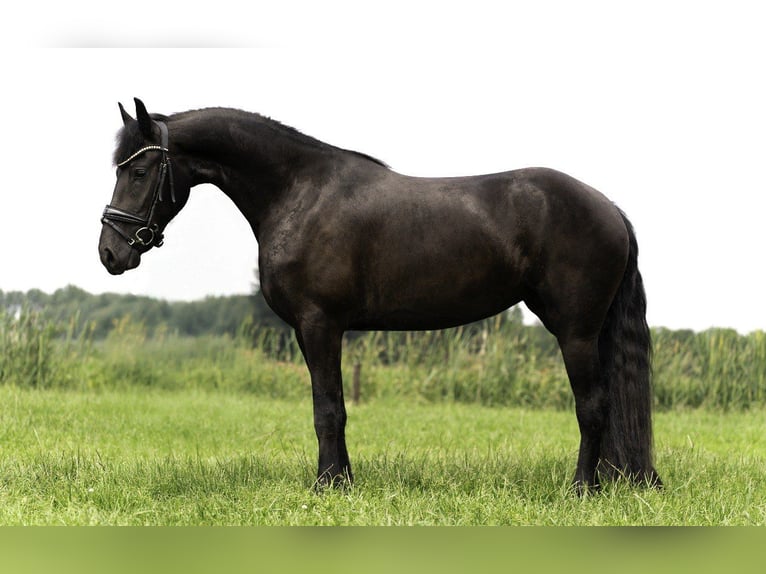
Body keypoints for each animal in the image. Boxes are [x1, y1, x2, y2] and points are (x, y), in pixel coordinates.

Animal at [99, 98, 662, 494]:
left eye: (140, 171)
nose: (110, 252)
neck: (300, 193)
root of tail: (608, 208)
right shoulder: (314, 332)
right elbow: (334, 406)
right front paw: (343, 480)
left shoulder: (320, 324)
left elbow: (327, 409)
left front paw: (327, 487)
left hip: (576, 331)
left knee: (593, 406)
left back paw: (582, 490)